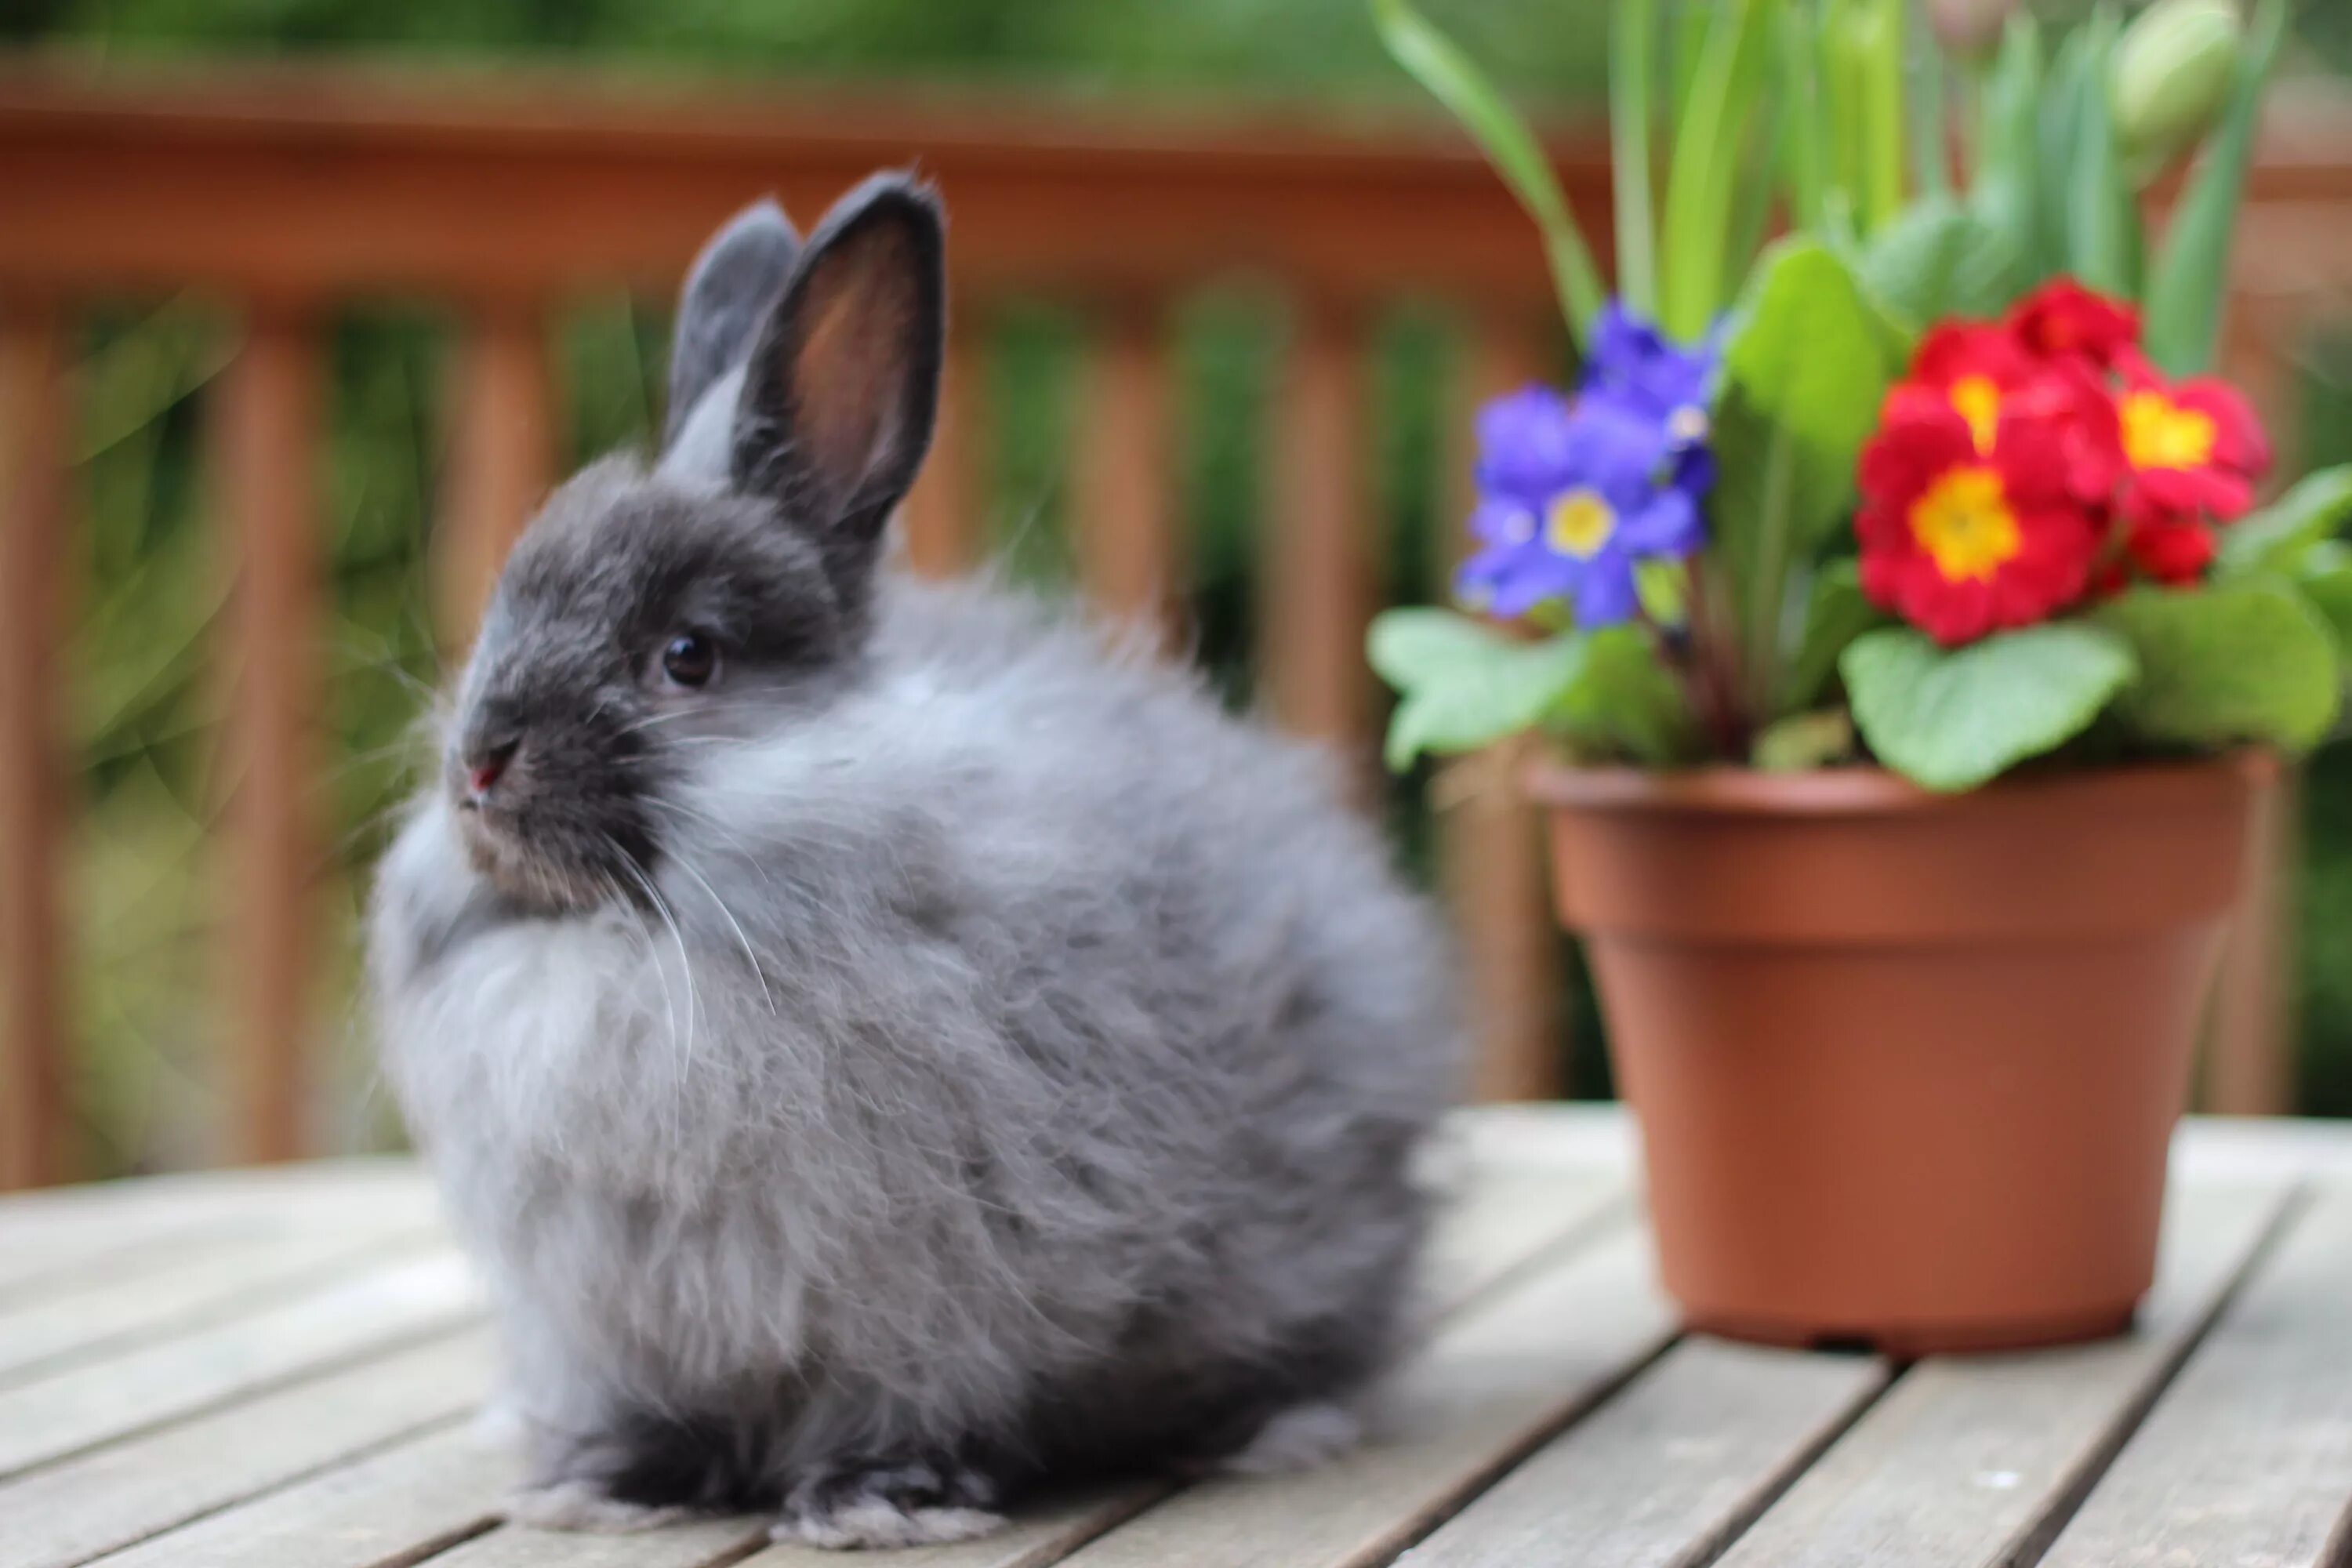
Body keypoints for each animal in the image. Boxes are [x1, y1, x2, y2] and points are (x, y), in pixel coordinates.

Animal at [365, 169, 1449, 1542]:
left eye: (688, 659)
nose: (481, 765)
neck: (625, 949)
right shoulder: (607, 1318)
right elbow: (646, 1409)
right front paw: (602, 1485)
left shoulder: (937, 1293)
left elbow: (899, 1399)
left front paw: (876, 1504)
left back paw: (1268, 1430)